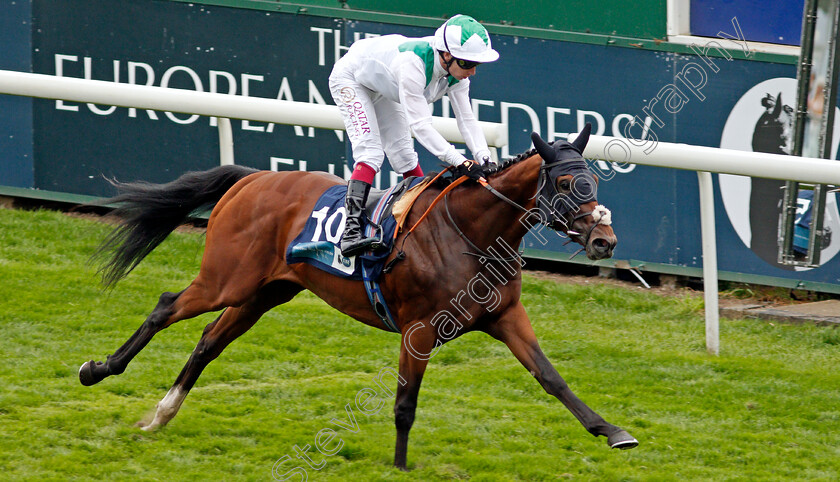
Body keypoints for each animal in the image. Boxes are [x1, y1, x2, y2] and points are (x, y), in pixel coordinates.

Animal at [79, 125, 636, 470]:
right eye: (565, 181)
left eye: (593, 177)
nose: (605, 241)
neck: (470, 231)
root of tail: (252, 178)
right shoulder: (419, 329)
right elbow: (405, 403)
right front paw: (400, 466)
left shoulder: (505, 315)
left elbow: (551, 378)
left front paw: (612, 431)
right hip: (226, 280)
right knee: (165, 306)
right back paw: (98, 369)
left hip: (265, 292)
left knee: (208, 341)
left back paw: (162, 412)